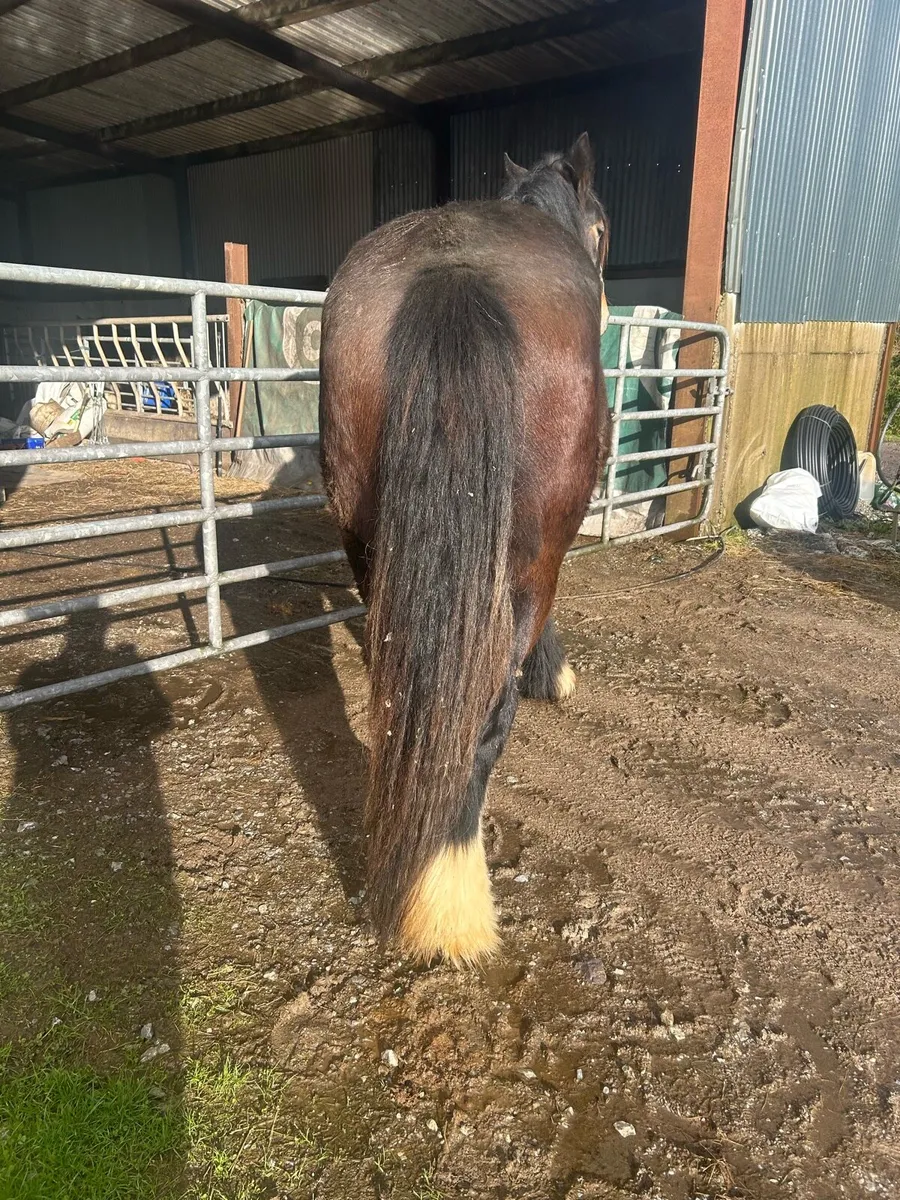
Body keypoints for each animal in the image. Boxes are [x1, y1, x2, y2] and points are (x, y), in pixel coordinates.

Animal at [319, 133, 611, 966]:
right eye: (603, 229)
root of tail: (452, 273)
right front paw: (554, 673)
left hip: (363, 537)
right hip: (528, 554)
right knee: (481, 719)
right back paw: (449, 905)